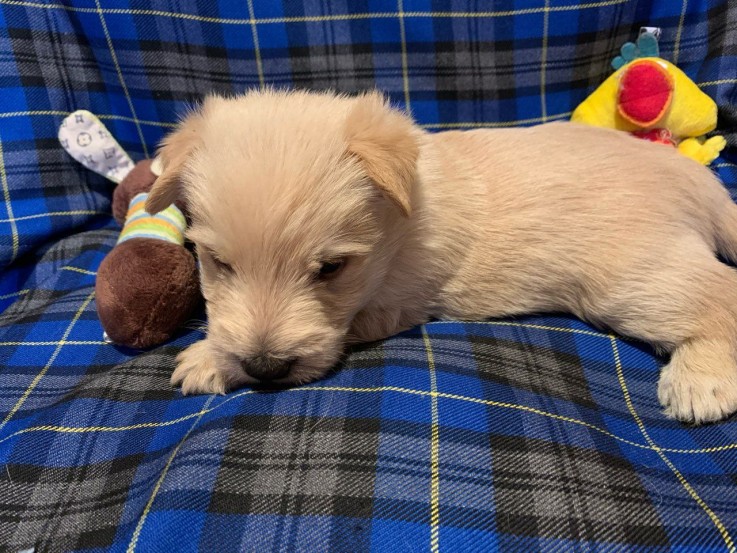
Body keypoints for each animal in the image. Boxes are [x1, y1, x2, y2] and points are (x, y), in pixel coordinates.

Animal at [147, 89, 736, 422]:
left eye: (331, 269)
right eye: (219, 263)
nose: (264, 368)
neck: (401, 223)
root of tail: (700, 181)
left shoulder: (391, 303)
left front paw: (205, 358)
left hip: (632, 277)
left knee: (720, 297)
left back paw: (701, 382)